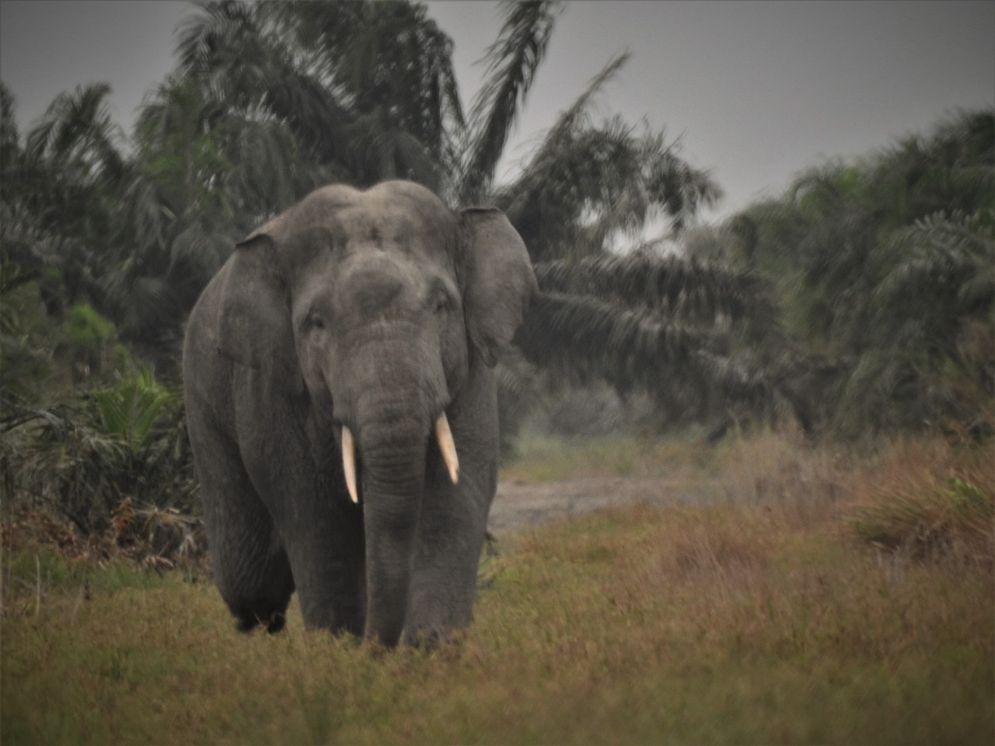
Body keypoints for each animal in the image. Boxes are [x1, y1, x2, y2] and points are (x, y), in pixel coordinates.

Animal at [179, 180, 536, 644]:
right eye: (316, 323)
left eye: (442, 305)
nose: (378, 647)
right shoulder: (273, 393)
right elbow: (316, 517)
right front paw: (339, 647)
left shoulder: (470, 372)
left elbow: (454, 499)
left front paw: (430, 646)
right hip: (202, 400)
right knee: (251, 577)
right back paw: (257, 634)